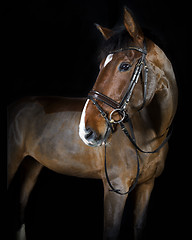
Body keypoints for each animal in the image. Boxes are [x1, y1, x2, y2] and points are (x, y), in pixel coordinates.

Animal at [7, 7, 178, 240]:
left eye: (125, 66)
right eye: (100, 66)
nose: (85, 131)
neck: (150, 135)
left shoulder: (146, 187)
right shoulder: (115, 190)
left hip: (32, 165)